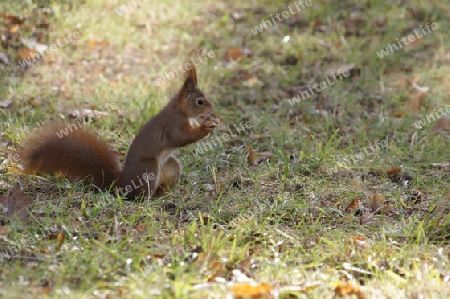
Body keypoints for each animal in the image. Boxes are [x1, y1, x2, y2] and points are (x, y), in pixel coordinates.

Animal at [20, 62, 218, 200]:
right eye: (200, 101)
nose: (214, 111)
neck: (180, 110)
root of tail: (122, 184)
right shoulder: (172, 125)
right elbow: (181, 138)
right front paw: (206, 127)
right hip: (149, 168)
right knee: (140, 196)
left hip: (171, 166)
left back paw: (165, 196)